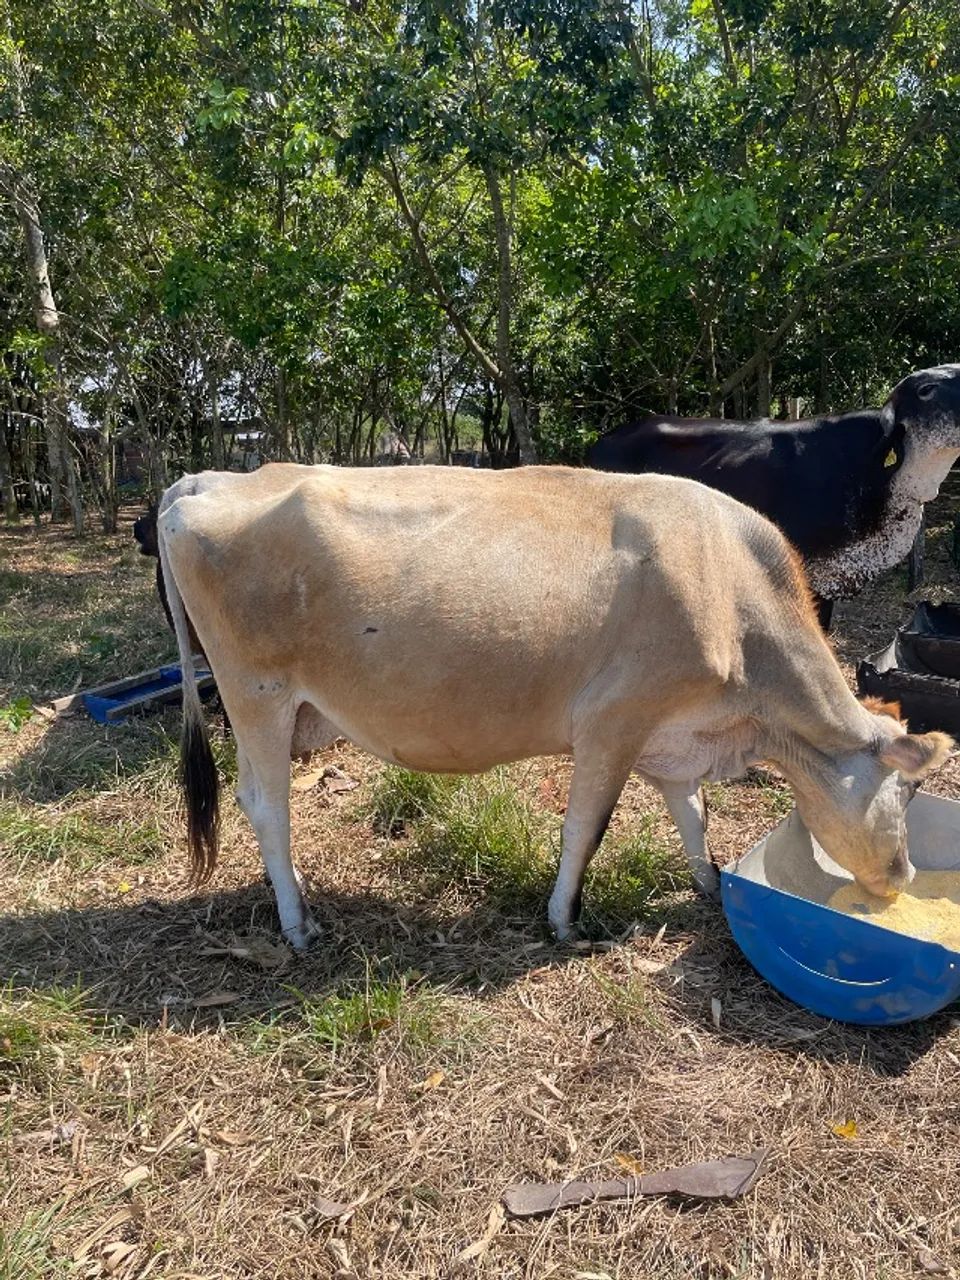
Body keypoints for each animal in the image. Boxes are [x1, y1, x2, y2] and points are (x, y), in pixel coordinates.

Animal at [154, 463, 953, 950]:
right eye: (909, 791)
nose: (904, 877)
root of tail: (206, 479)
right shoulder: (613, 722)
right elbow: (584, 832)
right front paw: (565, 922)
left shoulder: (674, 738)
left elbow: (693, 815)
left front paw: (710, 883)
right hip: (257, 696)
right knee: (266, 804)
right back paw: (297, 923)